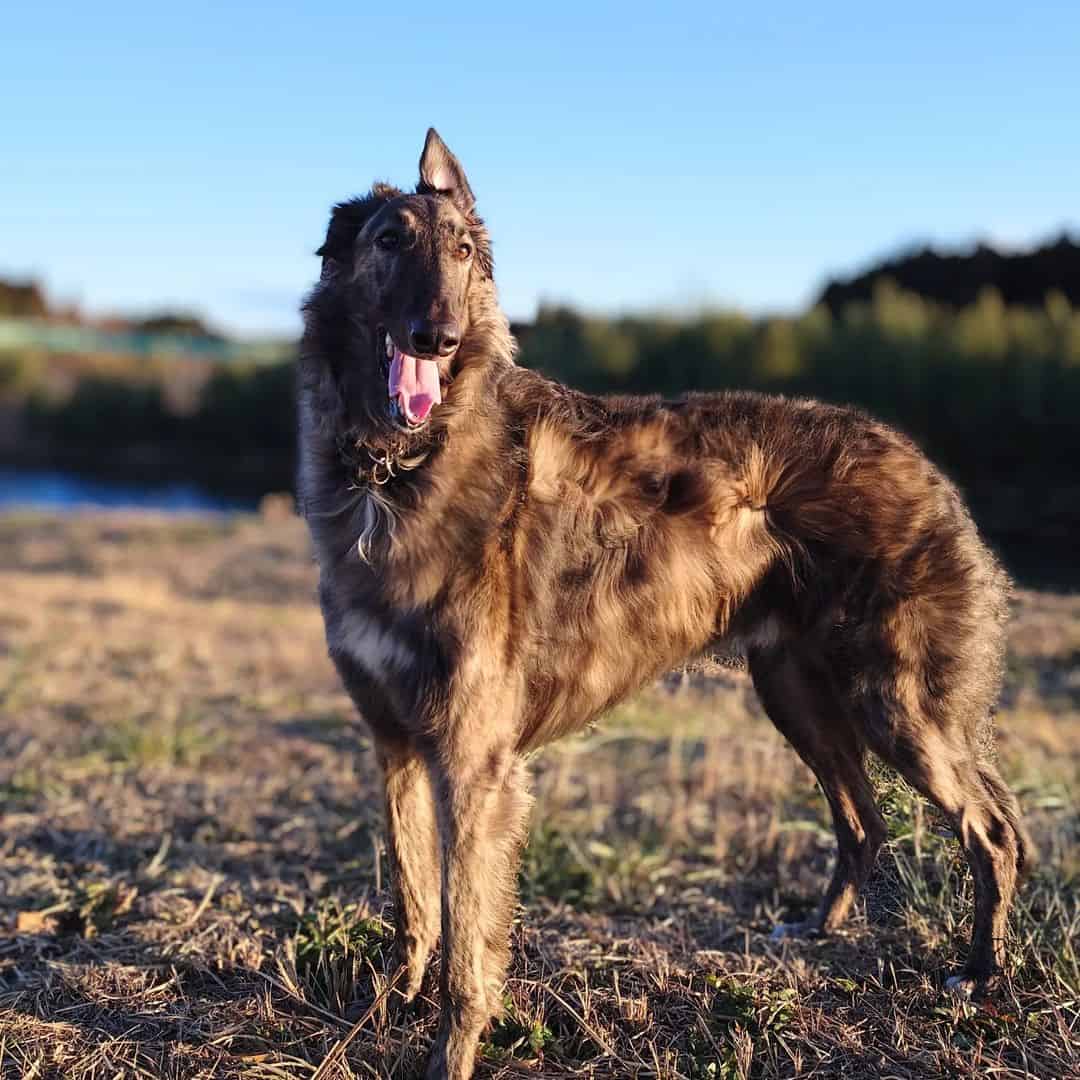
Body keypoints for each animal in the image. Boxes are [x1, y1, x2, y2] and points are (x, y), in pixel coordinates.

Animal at [295, 128, 1028, 1080]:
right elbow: (415, 912)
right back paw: (815, 935)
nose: (440, 334)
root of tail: (929, 468)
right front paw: (383, 1010)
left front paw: (449, 1050)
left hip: (901, 707)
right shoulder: (395, 742)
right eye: (389, 240)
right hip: (796, 693)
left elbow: (464, 946)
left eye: (461, 251)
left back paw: (978, 974)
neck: (397, 473)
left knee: (991, 834)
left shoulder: (475, 759)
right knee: (864, 821)